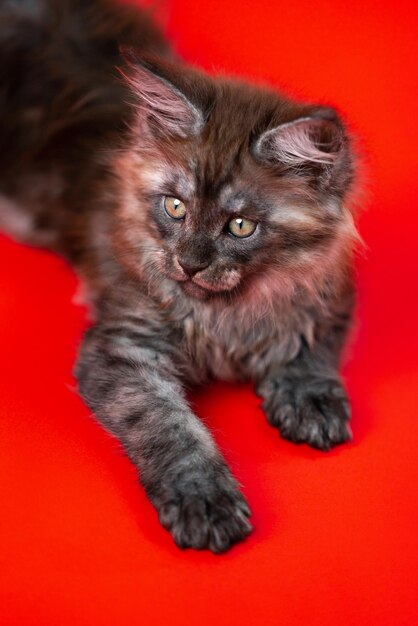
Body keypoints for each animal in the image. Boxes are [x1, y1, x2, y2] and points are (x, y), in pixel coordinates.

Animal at [0, 0, 360, 552]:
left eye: (241, 225)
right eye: (175, 207)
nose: (189, 263)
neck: (225, 314)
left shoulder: (329, 290)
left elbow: (310, 346)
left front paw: (311, 398)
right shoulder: (123, 347)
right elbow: (169, 426)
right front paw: (204, 499)